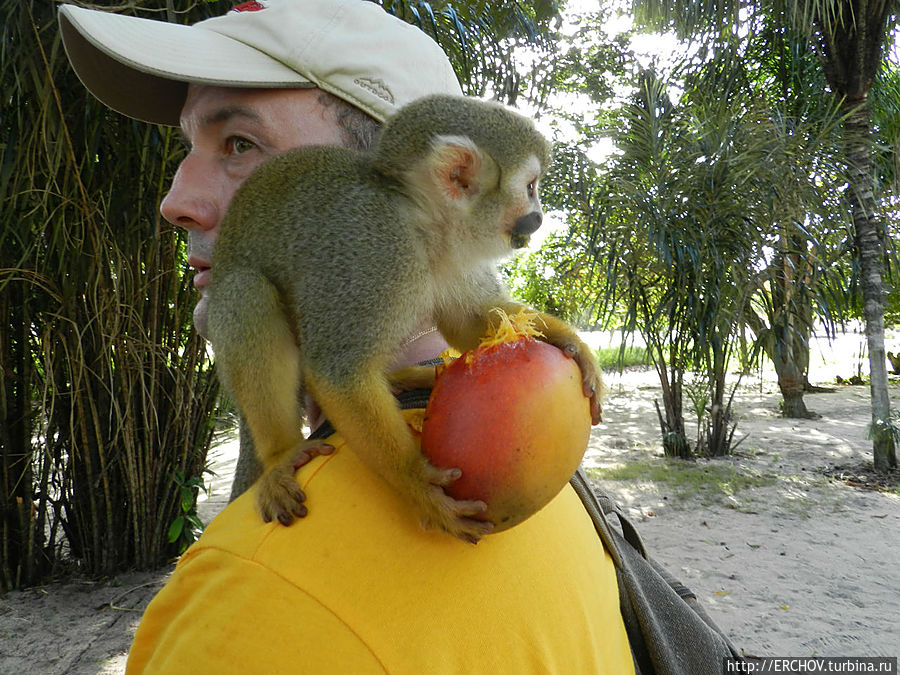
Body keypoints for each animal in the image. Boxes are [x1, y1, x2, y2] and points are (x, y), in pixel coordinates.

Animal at [207, 93, 604, 544]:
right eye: (531, 188)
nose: (538, 217)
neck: (422, 224)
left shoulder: (453, 254)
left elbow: (470, 326)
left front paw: (566, 338)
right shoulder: (373, 248)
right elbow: (338, 371)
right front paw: (417, 481)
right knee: (246, 290)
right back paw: (279, 453)